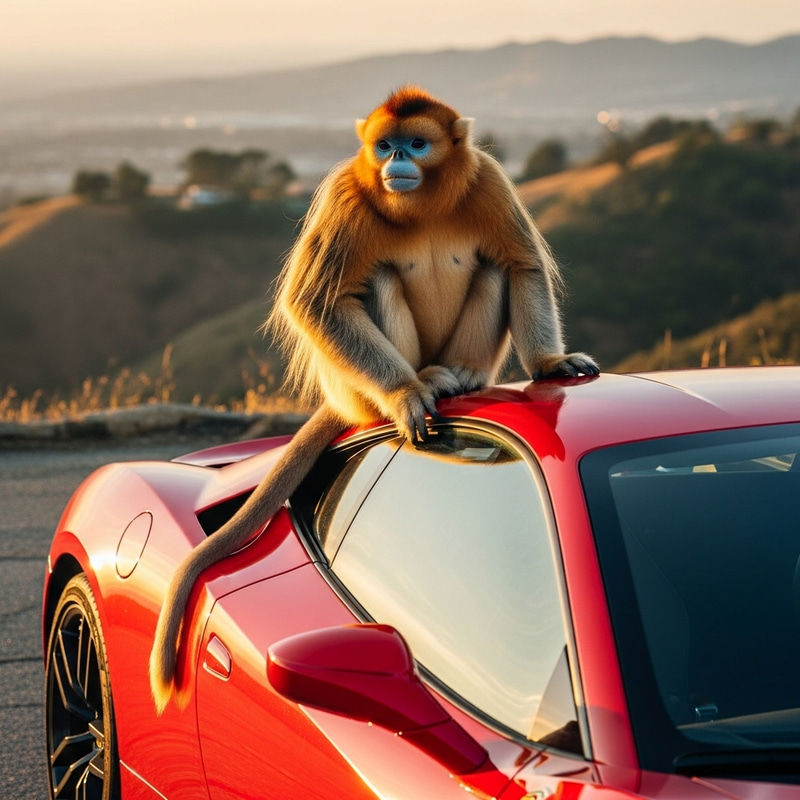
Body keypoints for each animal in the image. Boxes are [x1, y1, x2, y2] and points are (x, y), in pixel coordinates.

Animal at [149, 86, 597, 713]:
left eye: (416, 144)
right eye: (385, 146)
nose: (396, 161)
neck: (424, 205)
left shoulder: (488, 181)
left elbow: (520, 263)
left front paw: (551, 363)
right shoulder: (346, 194)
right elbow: (316, 303)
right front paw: (407, 397)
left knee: (491, 268)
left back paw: (458, 376)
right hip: (358, 381)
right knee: (372, 281)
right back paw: (419, 383)